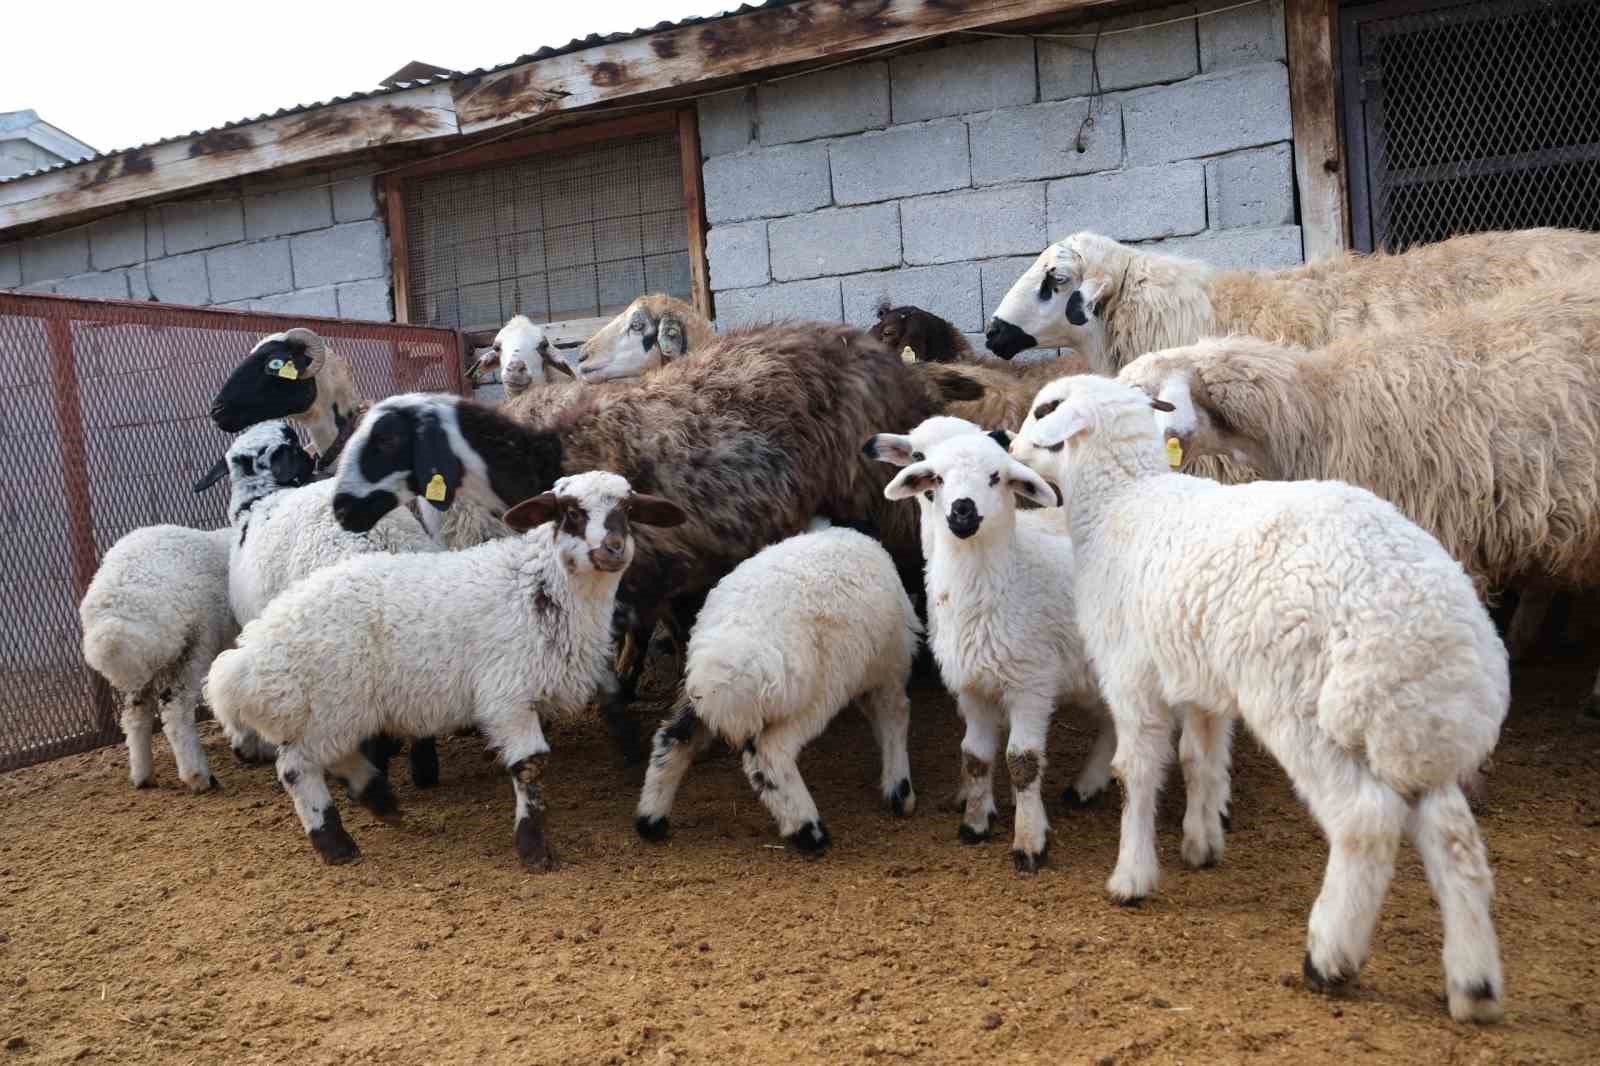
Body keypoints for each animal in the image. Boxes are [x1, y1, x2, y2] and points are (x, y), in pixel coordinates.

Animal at [79, 521, 238, 787]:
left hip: (140, 665)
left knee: (136, 712)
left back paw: (142, 775)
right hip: (196, 643)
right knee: (175, 708)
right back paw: (197, 776)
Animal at [203, 470, 684, 870]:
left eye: (628, 510)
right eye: (570, 512)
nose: (613, 549)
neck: (536, 586)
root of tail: (256, 650)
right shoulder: (508, 695)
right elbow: (529, 766)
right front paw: (534, 849)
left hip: (343, 709)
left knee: (334, 755)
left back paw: (380, 799)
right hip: (331, 702)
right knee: (296, 766)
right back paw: (335, 842)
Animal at [630, 518, 921, 851]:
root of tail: (723, 668)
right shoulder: (889, 668)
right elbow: (895, 717)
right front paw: (900, 792)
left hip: (697, 694)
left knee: (672, 739)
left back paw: (651, 821)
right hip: (814, 697)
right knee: (771, 754)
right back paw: (809, 830)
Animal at [1017, 372, 1504, 1024]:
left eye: (1046, 409)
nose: (1006, 443)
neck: (1124, 502)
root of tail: (1432, 630)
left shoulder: (1132, 675)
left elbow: (1138, 771)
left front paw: (1132, 877)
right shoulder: (1200, 678)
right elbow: (1201, 760)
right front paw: (1201, 844)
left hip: (1304, 706)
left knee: (1364, 819)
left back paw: (1329, 957)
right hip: (1412, 729)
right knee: (1456, 841)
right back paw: (1474, 984)